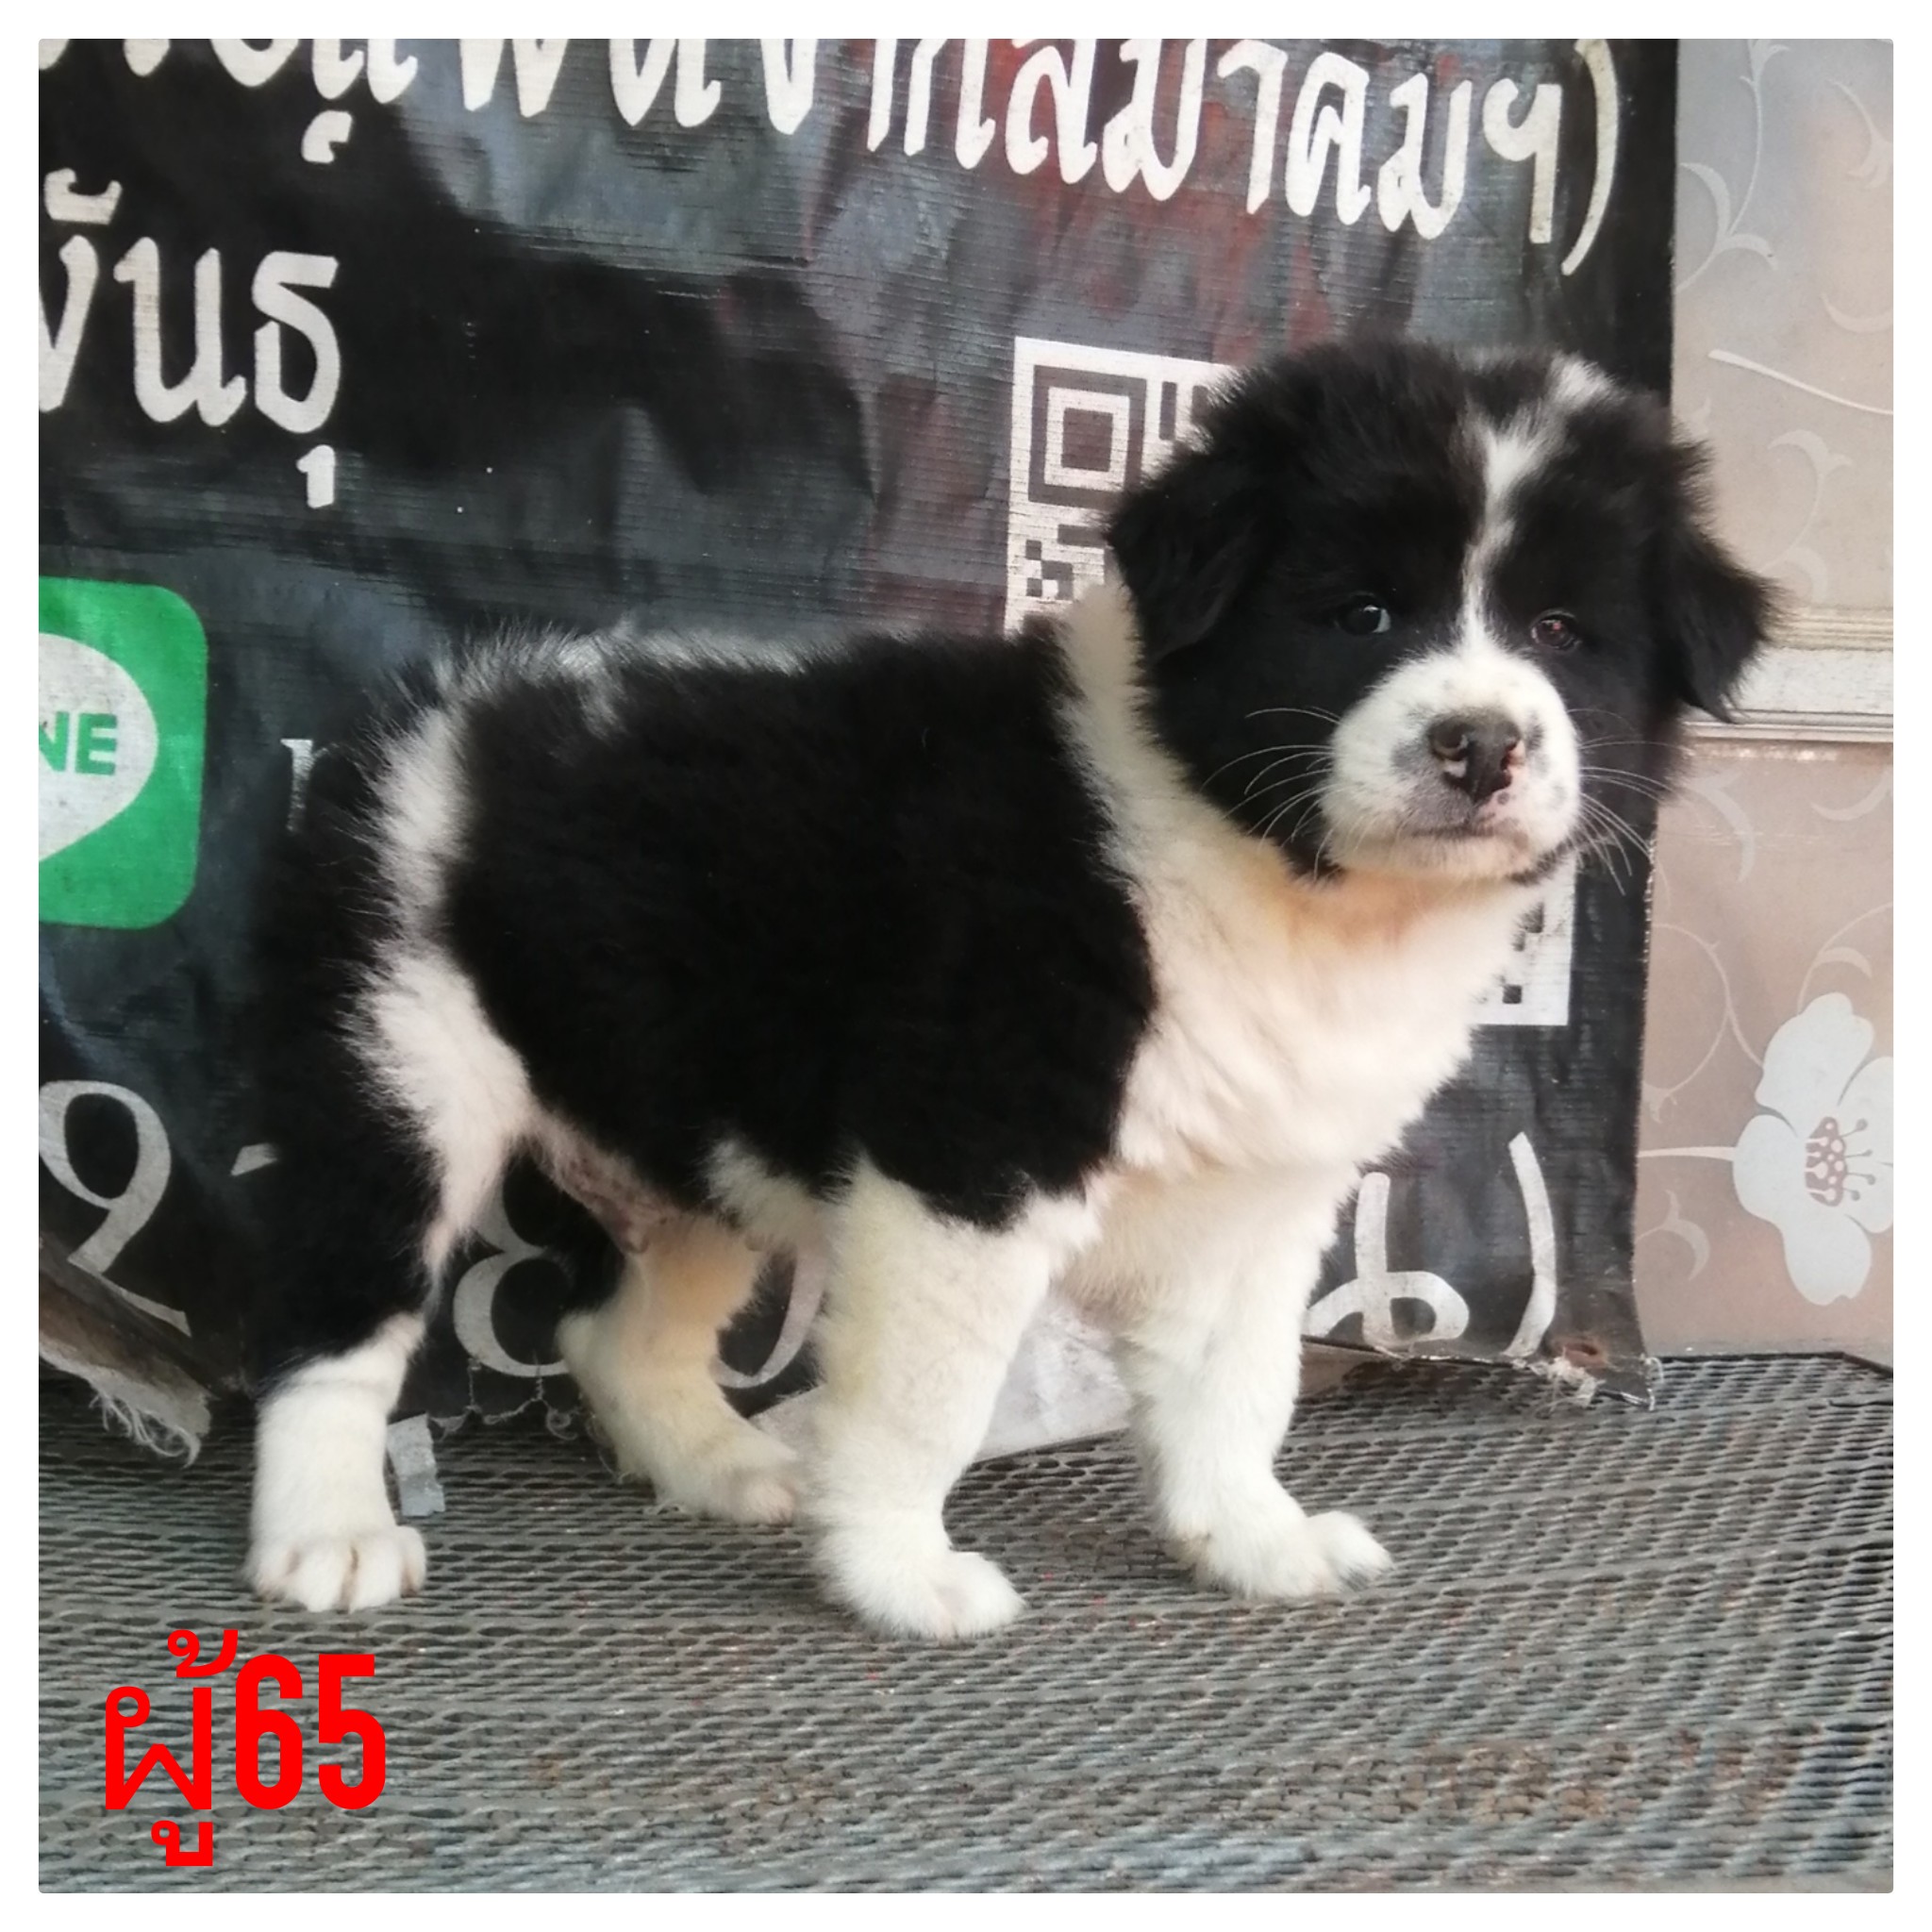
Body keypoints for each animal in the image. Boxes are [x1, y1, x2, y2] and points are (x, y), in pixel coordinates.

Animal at [241, 337, 1769, 1638]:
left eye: (1564, 631)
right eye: (1362, 614)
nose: (1479, 744)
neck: (1279, 877)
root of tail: (435, 713)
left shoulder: (1261, 1189)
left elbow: (1241, 1386)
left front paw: (1252, 1539)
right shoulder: (969, 1153)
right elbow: (932, 1398)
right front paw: (899, 1576)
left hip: (686, 1136)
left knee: (613, 1330)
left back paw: (725, 1469)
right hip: (401, 1071)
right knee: (332, 1317)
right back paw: (326, 1536)